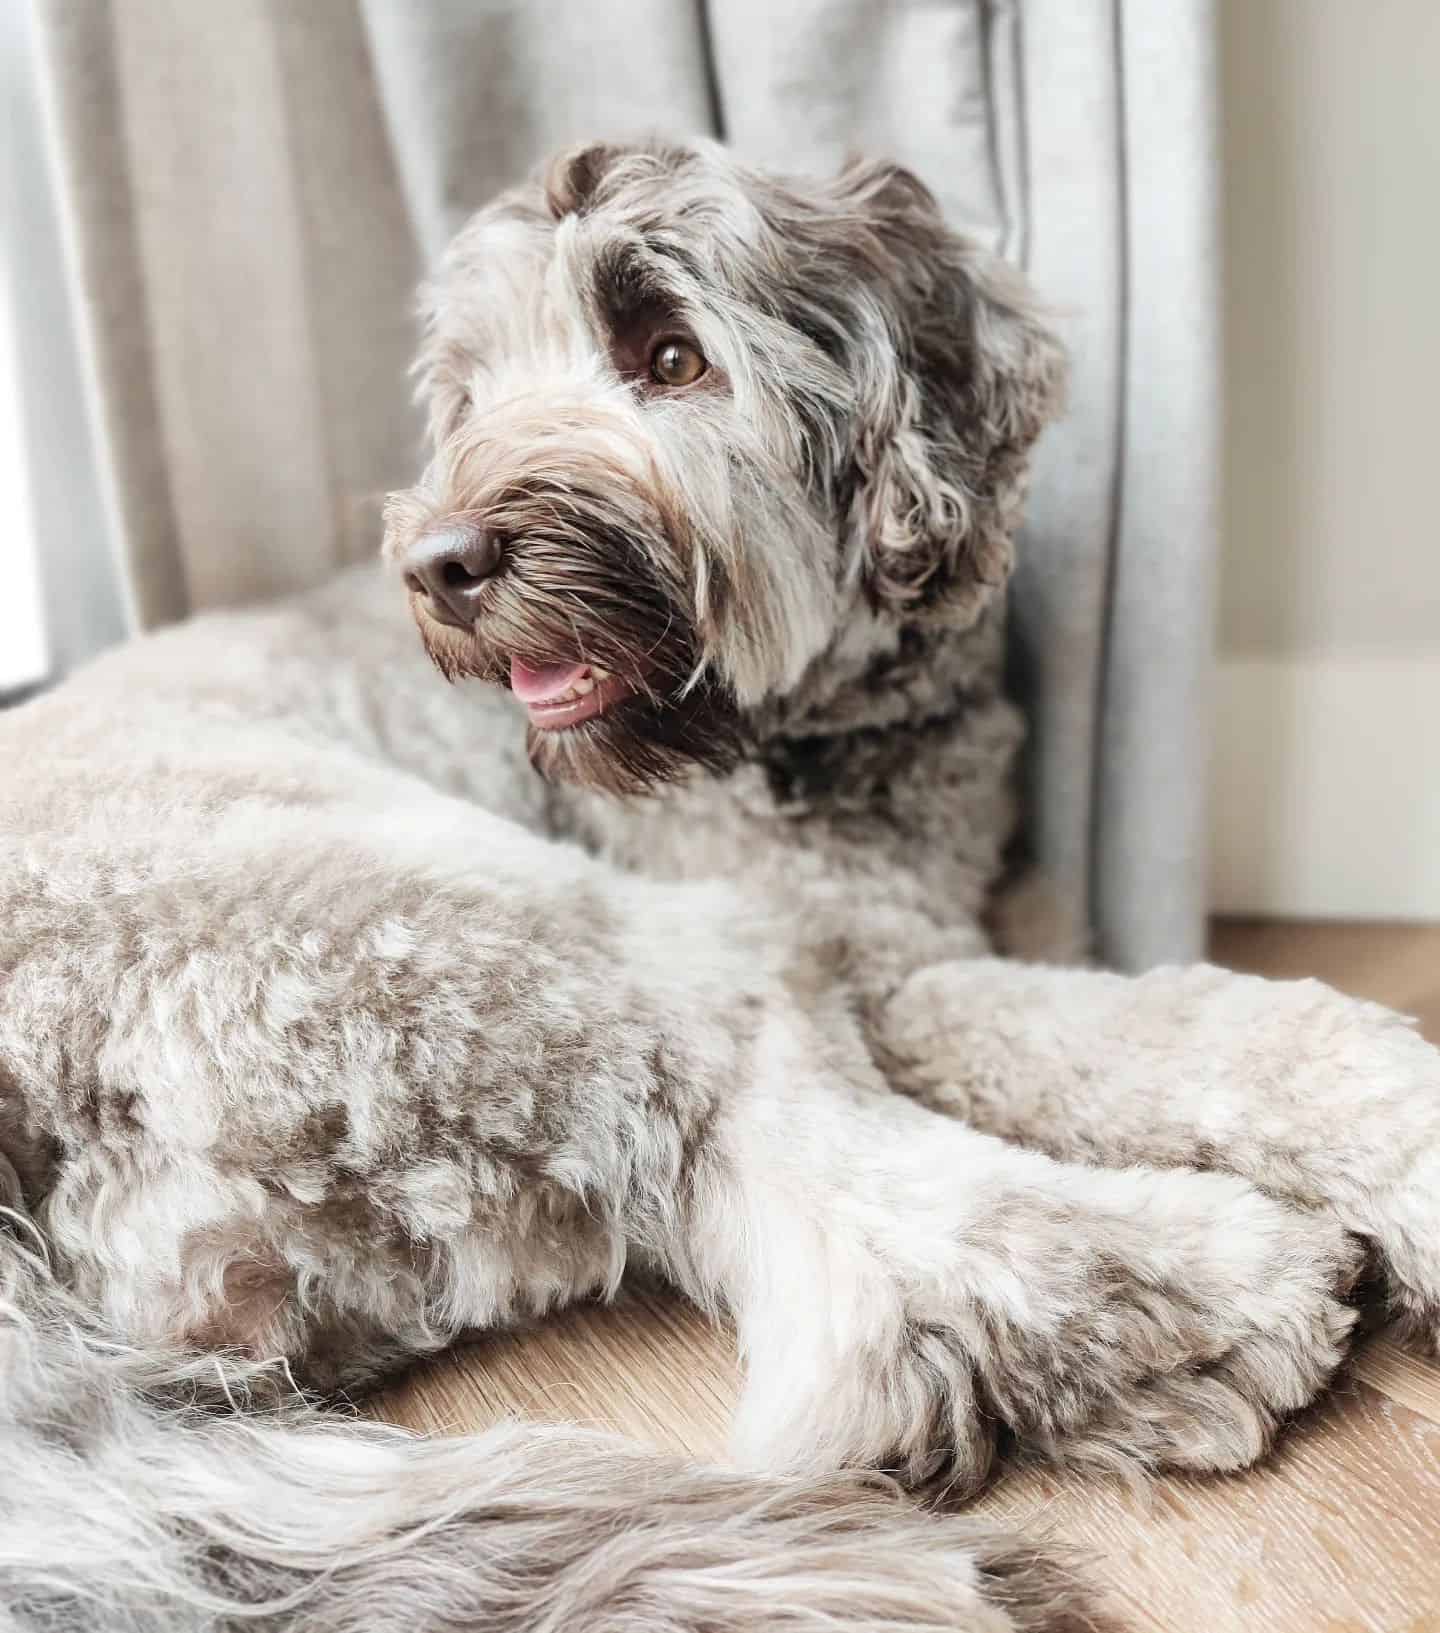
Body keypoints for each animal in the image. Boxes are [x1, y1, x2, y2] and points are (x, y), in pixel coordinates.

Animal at [2, 143, 1436, 1633]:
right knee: (876, 1245)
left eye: (673, 357)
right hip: (542, 943)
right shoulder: (891, 974)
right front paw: (1407, 1142)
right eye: (474, 394)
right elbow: (1217, 1028)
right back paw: (1211, 1298)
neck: (820, 735)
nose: (440, 561)